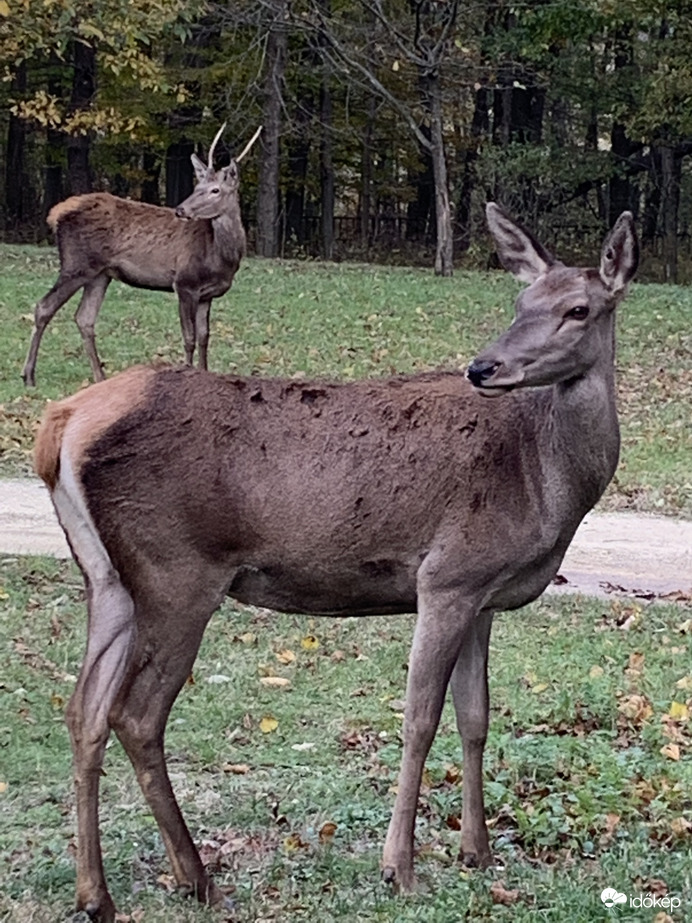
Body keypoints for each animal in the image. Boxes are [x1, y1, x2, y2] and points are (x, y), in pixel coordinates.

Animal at [21, 123, 260, 386]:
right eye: (198, 187)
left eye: (215, 190)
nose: (181, 210)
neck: (220, 257)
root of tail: (55, 214)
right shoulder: (184, 283)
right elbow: (189, 338)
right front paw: (187, 374)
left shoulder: (208, 294)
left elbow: (205, 337)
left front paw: (206, 374)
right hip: (76, 263)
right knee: (44, 307)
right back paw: (29, 376)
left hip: (100, 274)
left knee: (84, 318)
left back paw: (100, 376)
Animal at [33, 206, 636, 920]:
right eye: (520, 302)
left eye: (577, 308)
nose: (484, 367)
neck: (546, 481)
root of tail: (62, 422)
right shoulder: (447, 575)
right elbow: (420, 719)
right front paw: (400, 867)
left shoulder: (482, 593)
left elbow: (476, 717)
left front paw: (477, 852)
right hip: (175, 572)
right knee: (134, 713)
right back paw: (196, 876)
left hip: (105, 577)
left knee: (84, 710)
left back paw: (95, 893)